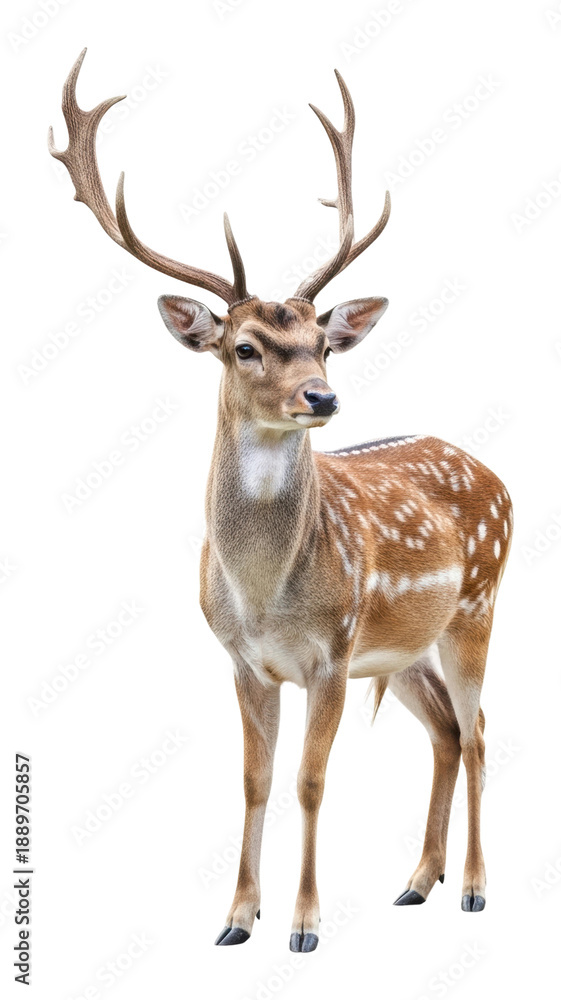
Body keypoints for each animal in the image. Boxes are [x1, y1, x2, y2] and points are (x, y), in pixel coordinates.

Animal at [50, 50, 512, 953]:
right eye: (244, 346)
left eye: (322, 341)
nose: (321, 396)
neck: (265, 595)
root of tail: (497, 478)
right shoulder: (240, 660)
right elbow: (254, 780)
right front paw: (236, 918)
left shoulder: (331, 653)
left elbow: (309, 781)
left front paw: (303, 924)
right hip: (402, 648)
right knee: (446, 732)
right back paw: (416, 882)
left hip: (476, 606)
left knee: (479, 731)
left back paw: (475, 888)